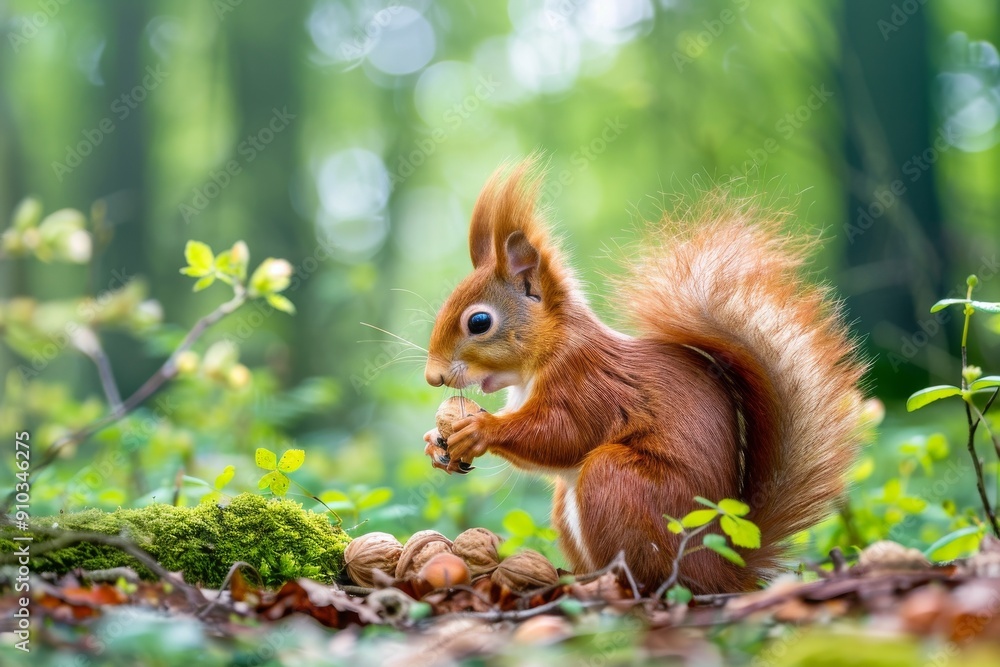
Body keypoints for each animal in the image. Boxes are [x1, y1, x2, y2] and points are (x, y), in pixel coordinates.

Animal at [421, 159, 867, 594]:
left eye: (479, 322)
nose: (432, 377)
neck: (549, 353)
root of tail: (721, 569)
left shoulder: (587, 382)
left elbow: (562, 434)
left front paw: (479, 429)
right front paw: (434, 443)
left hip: (619, 484)